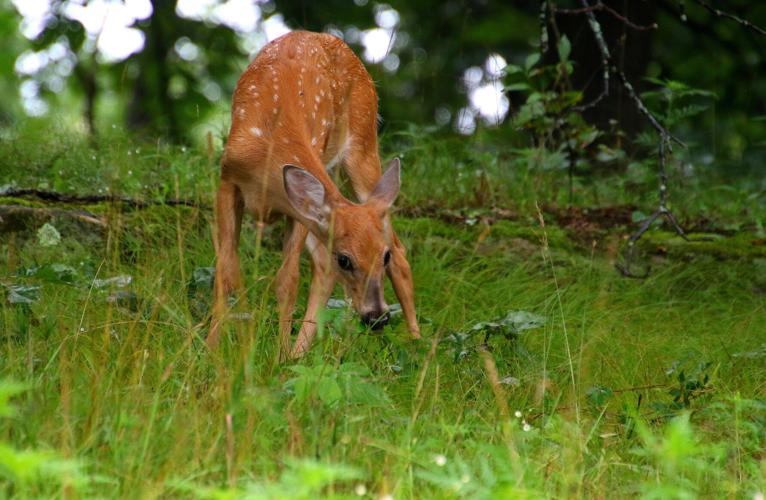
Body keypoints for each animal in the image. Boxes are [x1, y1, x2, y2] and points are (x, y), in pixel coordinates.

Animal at [206, 31, 421, 359]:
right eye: (345, 260)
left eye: (380, 257)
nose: (377, 317)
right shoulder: (228, 180)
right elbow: (226, 270)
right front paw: (211, 349)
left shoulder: (296, 210)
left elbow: (288, 281)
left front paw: (279, 355)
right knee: (324, 261)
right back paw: (301, 352)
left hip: (363, 143)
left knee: (399, 249)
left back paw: (417, 344)